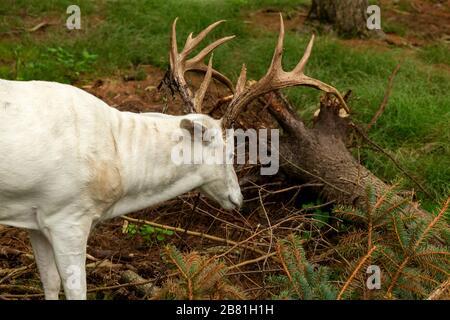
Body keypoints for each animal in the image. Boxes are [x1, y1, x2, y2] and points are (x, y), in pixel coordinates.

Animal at [0, 15, 344, 300]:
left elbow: (49, 283)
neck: (120, 162)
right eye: (231, 151)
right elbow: (74, 290)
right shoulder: (68, 215)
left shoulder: (37, 216)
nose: (238, 199)